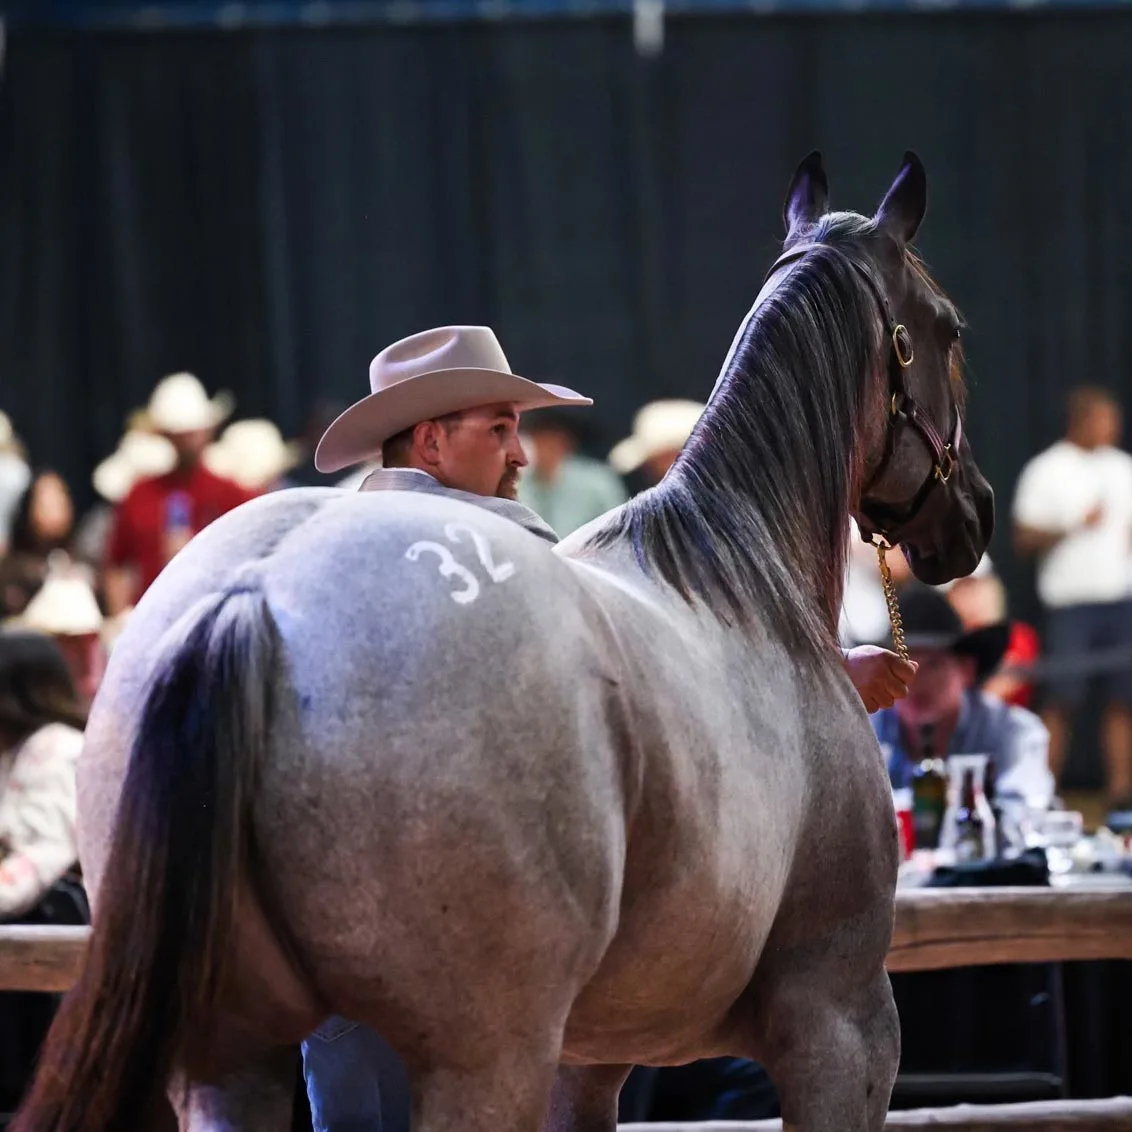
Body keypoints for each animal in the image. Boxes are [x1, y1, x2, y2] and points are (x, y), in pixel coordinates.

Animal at [15, 151, 993, 1132]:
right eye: (946, 329)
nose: (975, 515)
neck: (746, 580)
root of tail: (254, 599)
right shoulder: (840, 1025)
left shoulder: (589, 1064)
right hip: (484, 1058)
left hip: (233, 1060)